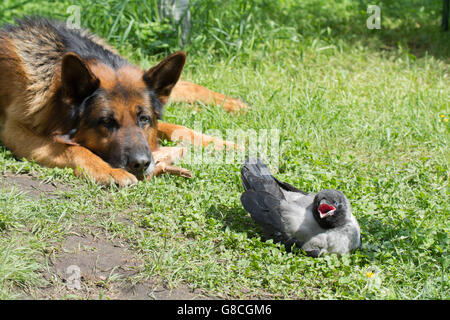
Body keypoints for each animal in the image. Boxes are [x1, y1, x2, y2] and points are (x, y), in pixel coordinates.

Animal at [0, 17, 248, 186]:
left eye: (144, 119)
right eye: (106, 122)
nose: (141, 164)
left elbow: (179, 128)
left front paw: (224, 143)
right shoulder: (14, 130)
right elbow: (72, 149)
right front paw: (109, 171)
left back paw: (234, 104)